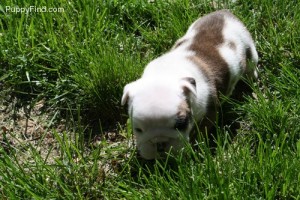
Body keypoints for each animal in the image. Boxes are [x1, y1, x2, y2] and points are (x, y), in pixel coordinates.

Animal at [121, 9, 258, 159]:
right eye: (138, 129)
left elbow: (200, 132)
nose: (160, 143)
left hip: (249, 49)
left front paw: (194, 147)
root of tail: (225, 12)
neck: (165, 74)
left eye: (181, 124)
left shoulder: (209, 113)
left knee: (251, 65)